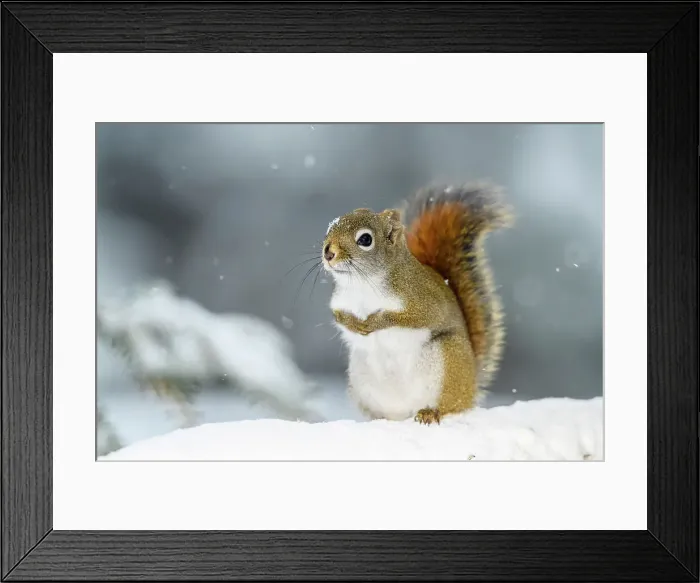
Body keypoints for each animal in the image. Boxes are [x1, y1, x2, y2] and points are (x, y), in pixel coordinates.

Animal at [322, 182, 513, 425]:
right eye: (329, 229)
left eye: (365, 239)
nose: (328, 252)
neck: (363, 282)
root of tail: (471, 386)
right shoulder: (340, 301)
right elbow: (339, 316)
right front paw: (355, 324)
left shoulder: (424, 301)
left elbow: (415, 317)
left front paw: (375, 321)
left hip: (449, 364)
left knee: (451, 406)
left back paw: (432, 412)